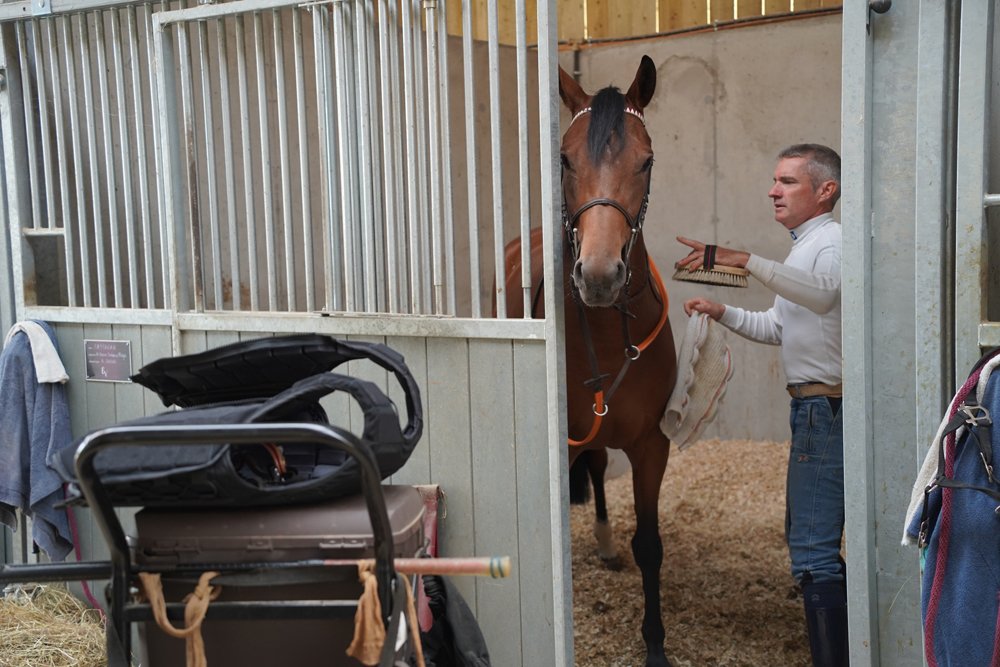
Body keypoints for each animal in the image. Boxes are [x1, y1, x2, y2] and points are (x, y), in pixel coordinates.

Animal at [501, 55, 678, 667]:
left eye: (647, 160)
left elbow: (649, 545)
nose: (599, 276)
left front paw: (655, 646)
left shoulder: (651, 443)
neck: (606, 324)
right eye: (563, 157)